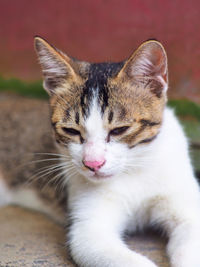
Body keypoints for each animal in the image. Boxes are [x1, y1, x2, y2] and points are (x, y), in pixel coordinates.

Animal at [0, 36, 200, 267]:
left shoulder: (187, 208)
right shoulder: (89, 233)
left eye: (120, 130)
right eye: (71, 130)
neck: (133, 171)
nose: (93, 164)